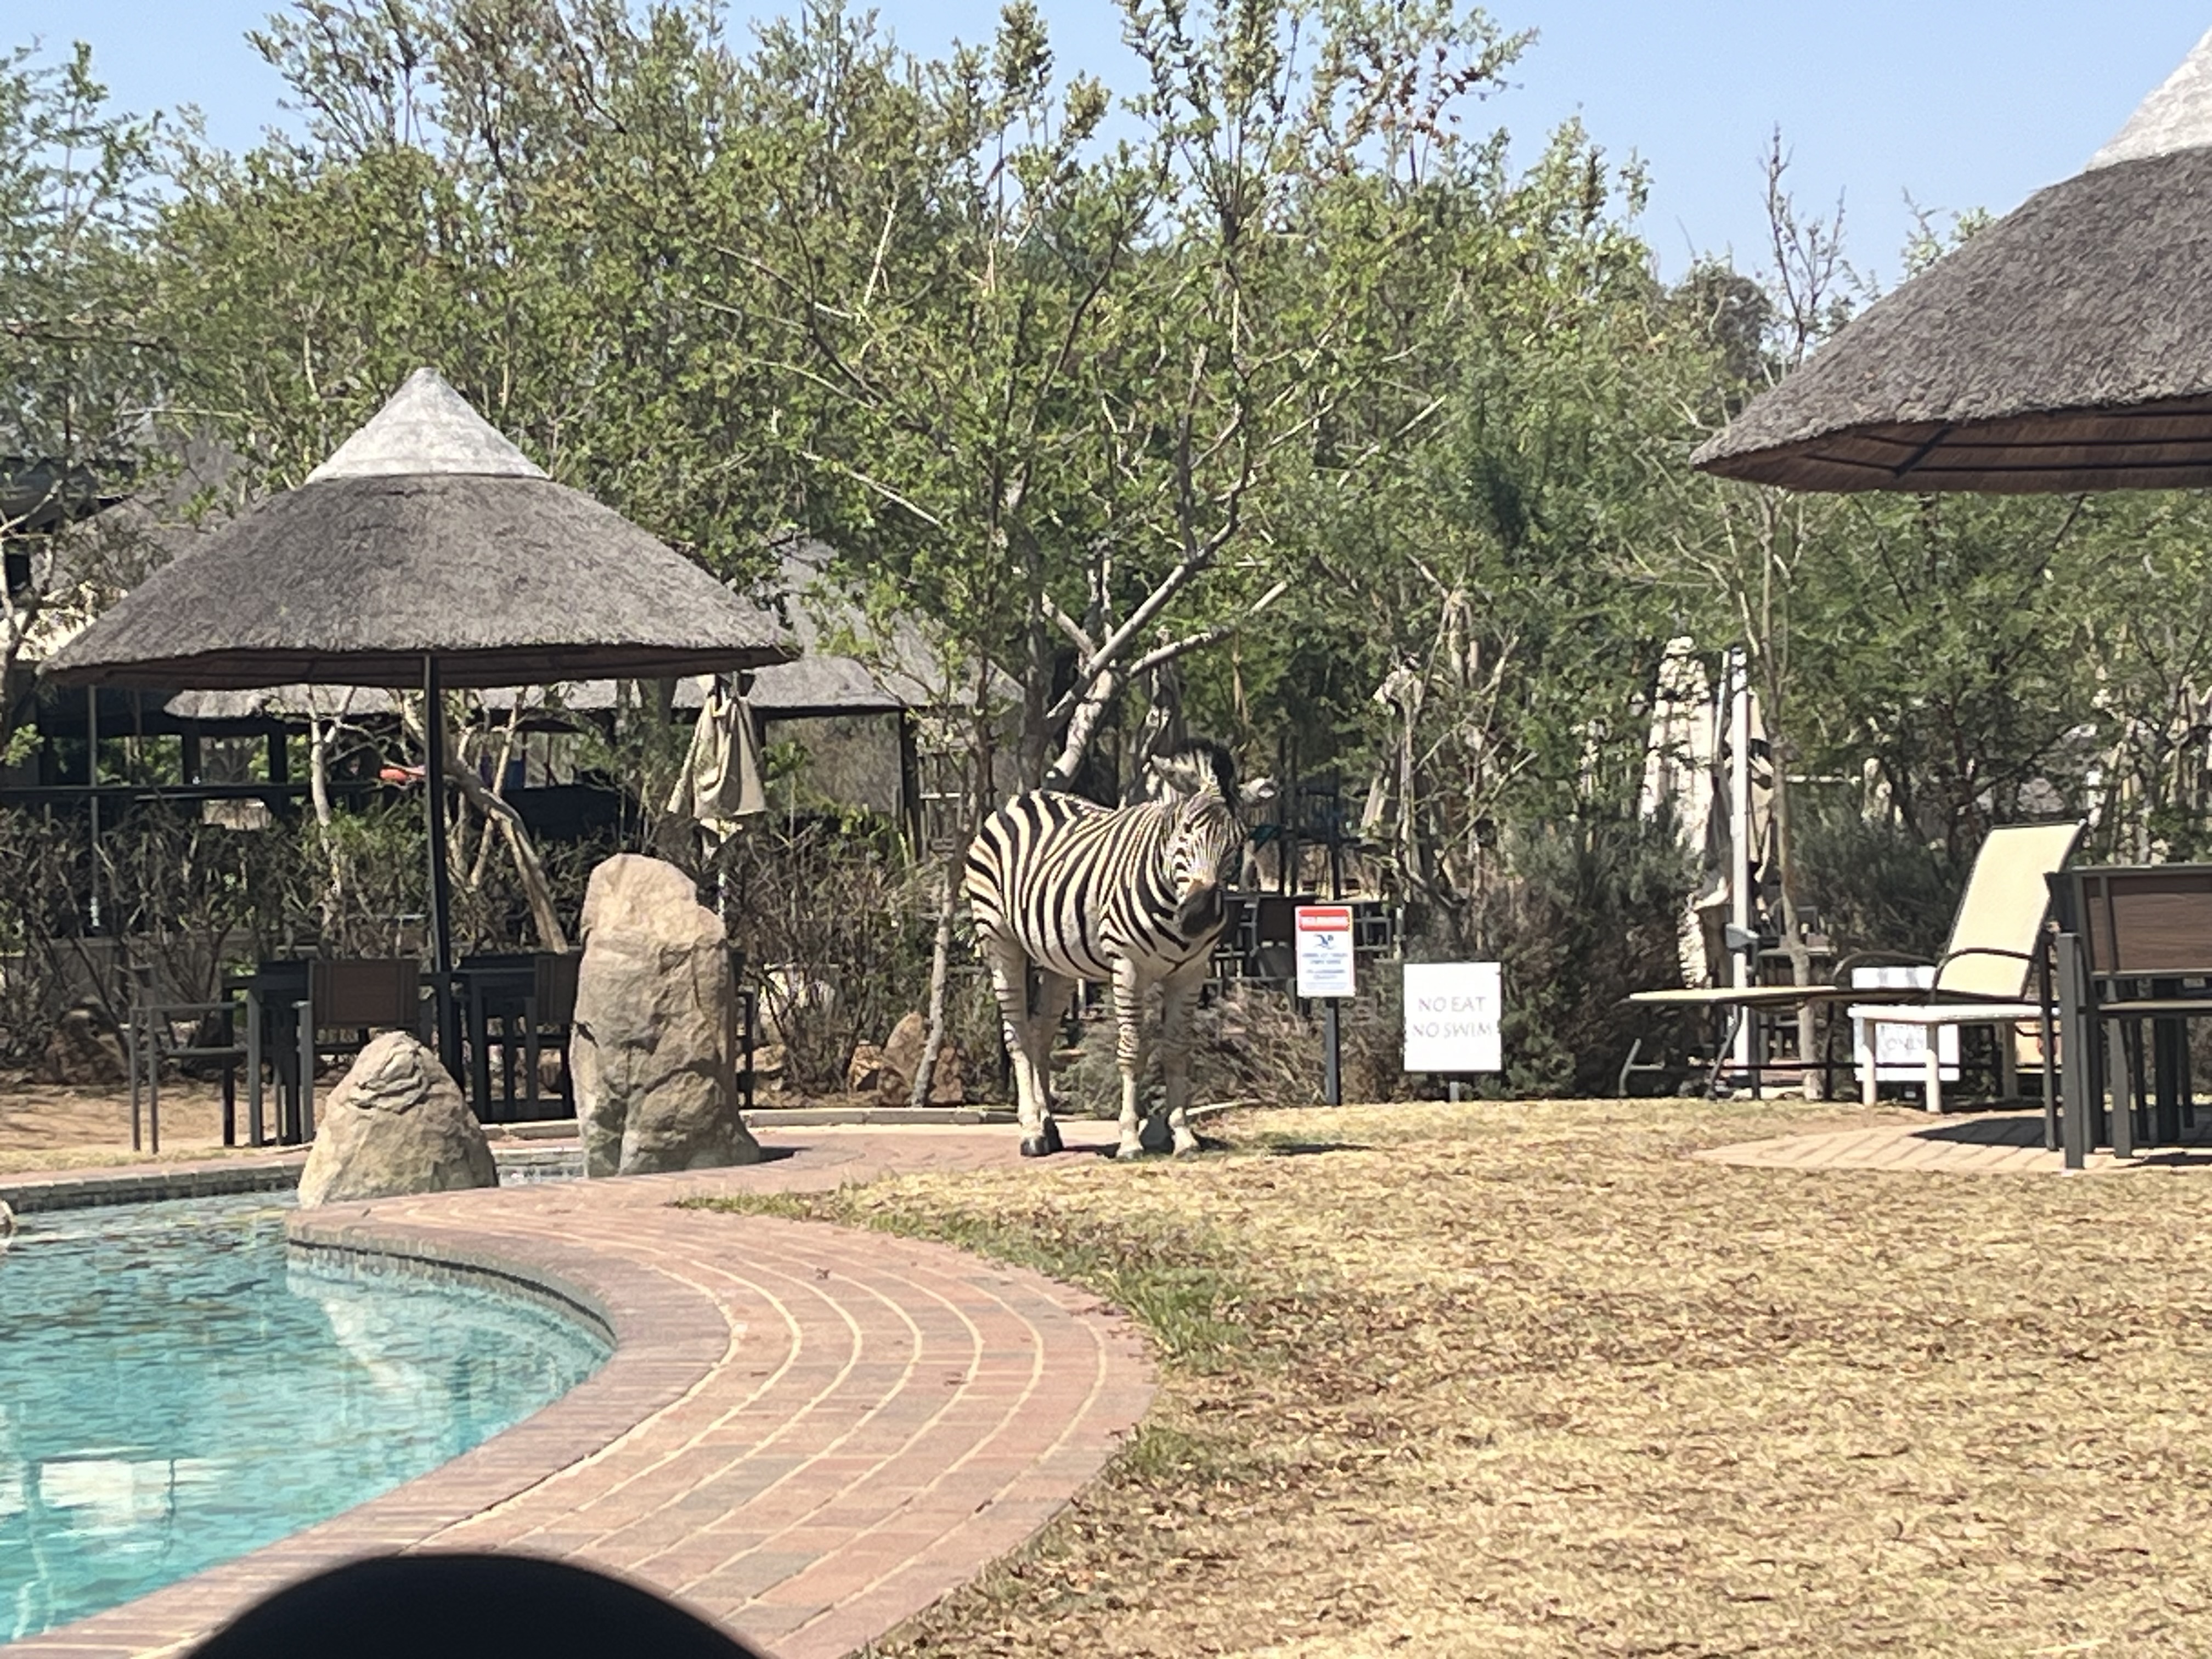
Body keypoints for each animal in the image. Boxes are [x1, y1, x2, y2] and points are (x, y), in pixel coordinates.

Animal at [960, 738, 1274, 1159]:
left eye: (1237, 842)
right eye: (1186, 831)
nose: (1198, 917)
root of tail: (1024, 798)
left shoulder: (1192, 973)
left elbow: (1176, 1048)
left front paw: (1184, 1136)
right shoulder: (1128, 967)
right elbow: (1132, 1049)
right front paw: (1129, 1139)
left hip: (1058, 958)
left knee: (1042, 1031)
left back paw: (1049, 1128)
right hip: (999, 938)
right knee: (1018, 1035)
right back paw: (1031, 1133)